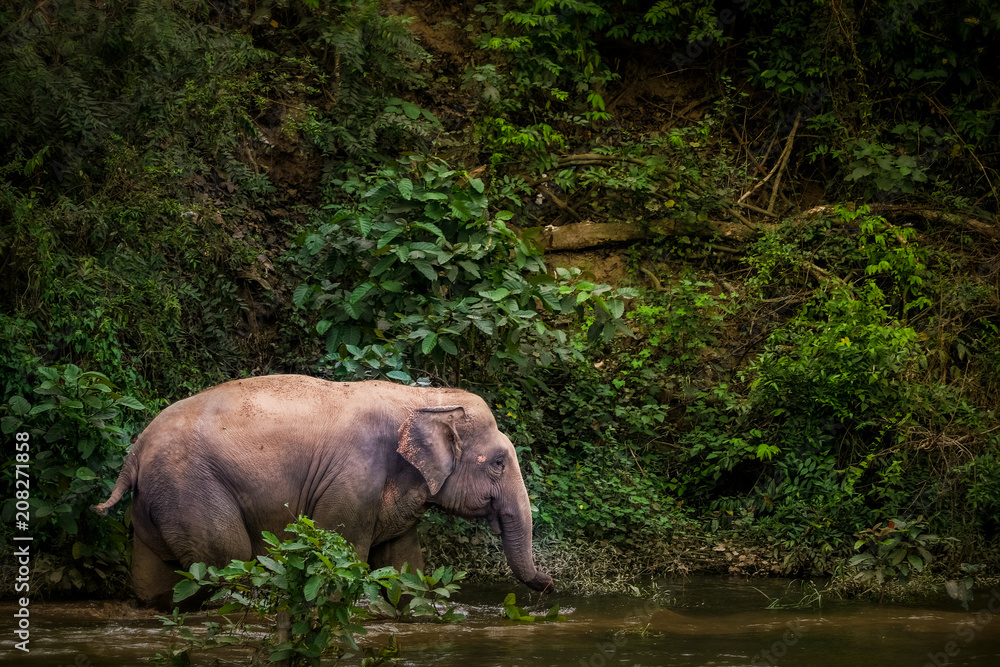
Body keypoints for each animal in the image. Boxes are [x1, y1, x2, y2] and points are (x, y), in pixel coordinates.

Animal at [92, 375, 553, 609]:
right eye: (498, 463)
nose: (550, 585)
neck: (420, 397)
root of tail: (135, 451)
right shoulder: (354, 477)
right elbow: (343, 555)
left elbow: (404, 565)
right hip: (191, 489)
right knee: (229, 564)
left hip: (157, 500)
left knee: (154, 580)